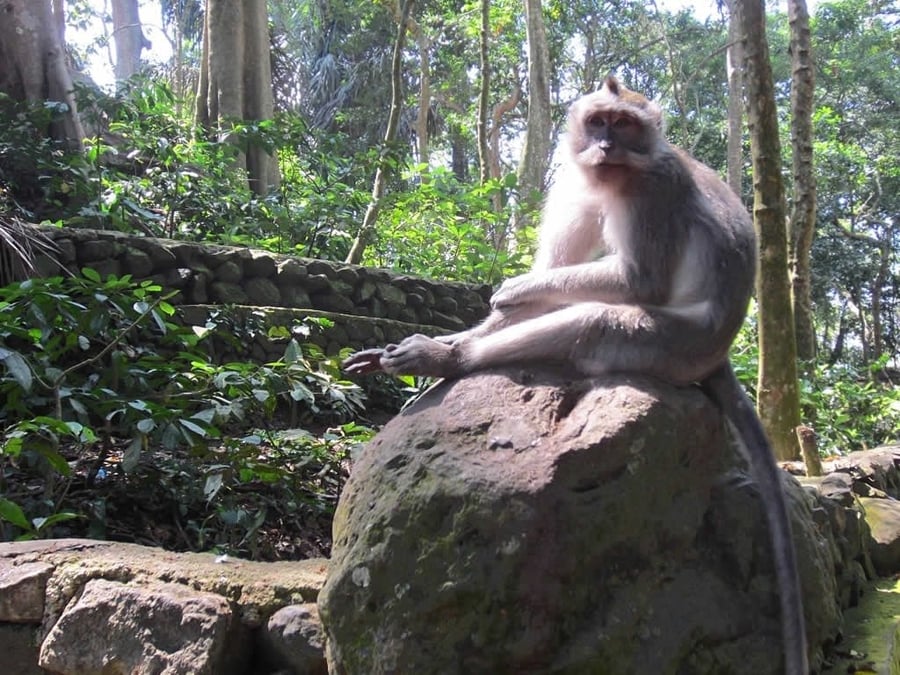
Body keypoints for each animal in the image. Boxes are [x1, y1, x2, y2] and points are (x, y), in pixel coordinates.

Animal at [342, 76, 808, 675]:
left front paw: (507, 292)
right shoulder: (575, 183)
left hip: (669, 349)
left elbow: (638, 283)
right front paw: (466, 326)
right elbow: (555, 271)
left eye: (626, 125)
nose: (606, 146)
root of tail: (717, 354)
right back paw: (448, 350)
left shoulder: (654, 191)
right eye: (599, 122)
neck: (619, 175)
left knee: (594, 319)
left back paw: (452, 361)